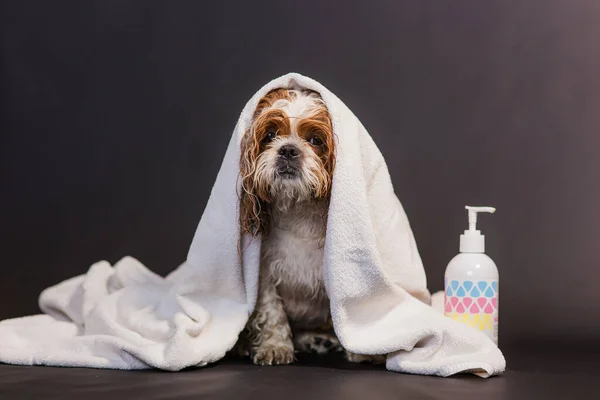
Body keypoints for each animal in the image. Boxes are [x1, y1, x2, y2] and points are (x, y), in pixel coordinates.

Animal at [234, 88, 384, 366]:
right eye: (270, 135)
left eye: (315, 140)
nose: (288, 150)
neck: (299, 213)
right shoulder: (264, 275)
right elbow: (272, 312)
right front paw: (275, 346)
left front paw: (362, 349)